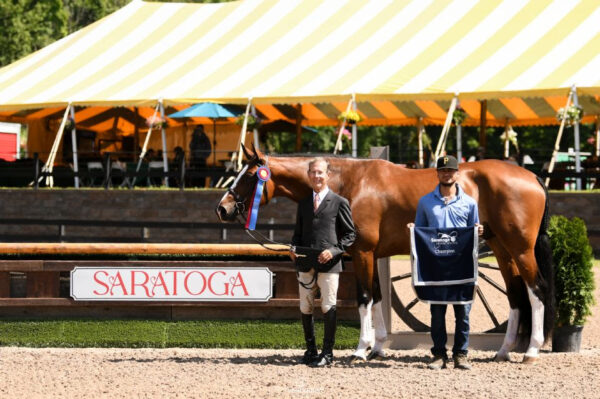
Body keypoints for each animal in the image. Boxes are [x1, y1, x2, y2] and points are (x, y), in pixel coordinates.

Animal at [216, 147, 552, 366]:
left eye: (249, 176)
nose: (223, 208)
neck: (349, 183)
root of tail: (532, 178)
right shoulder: (371, 255)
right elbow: (377, 297)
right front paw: (377, 347)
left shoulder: (363, 252)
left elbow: (364, 298)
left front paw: (360, 350)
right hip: (502, 250)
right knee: (515, 295)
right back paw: (504, 351)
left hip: (521, 249)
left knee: (537, 290)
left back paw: (532, 351)